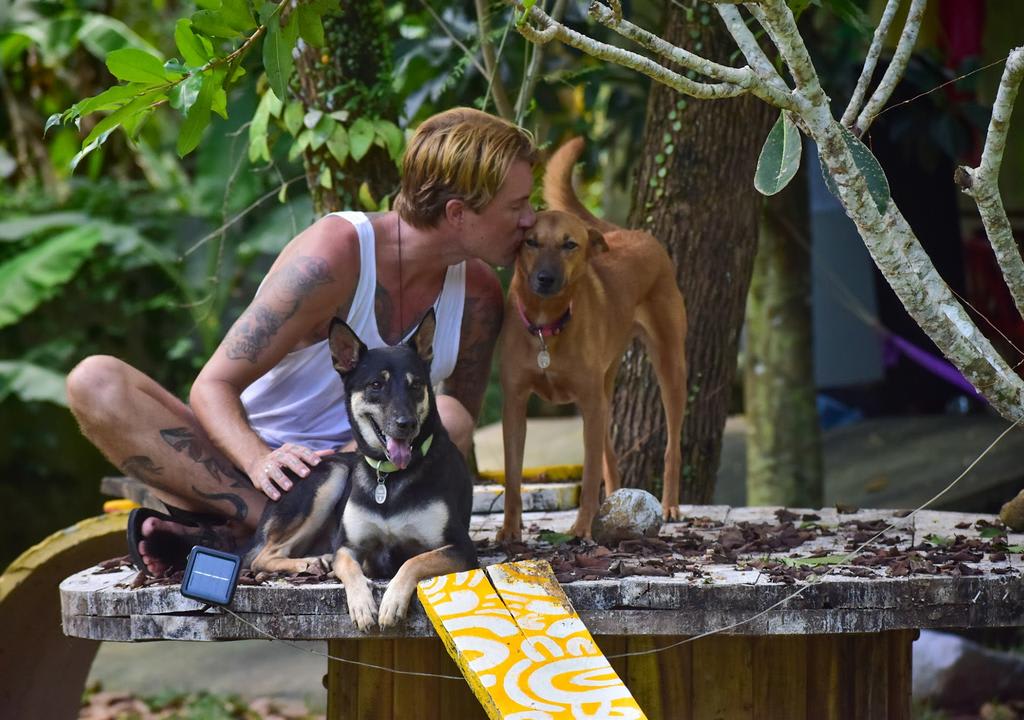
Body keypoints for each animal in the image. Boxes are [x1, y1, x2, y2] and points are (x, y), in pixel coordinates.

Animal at [245, 309, 477, 630]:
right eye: (376, 385)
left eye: (415, 384)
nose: (406, 425)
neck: (390, 476)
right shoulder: (348, 546)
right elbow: (348, 566)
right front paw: (362, 605)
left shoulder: (459, 547)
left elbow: (413, 561)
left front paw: (391, 602)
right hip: (332, 475)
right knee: (262, 557)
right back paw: (309, 562)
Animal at [495, 138, 688, 540]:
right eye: (531, 242)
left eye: (569, 245)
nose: (545, 279)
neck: (546, 327)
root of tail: (631, 233)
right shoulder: (515, 404)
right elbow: (513, 477)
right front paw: (510, 530)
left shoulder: (588, 402)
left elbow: (587, 475)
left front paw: (581, 528)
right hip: (605, 388)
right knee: (609, 454)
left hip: (669, 366)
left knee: (671, 447)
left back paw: (670, 505)